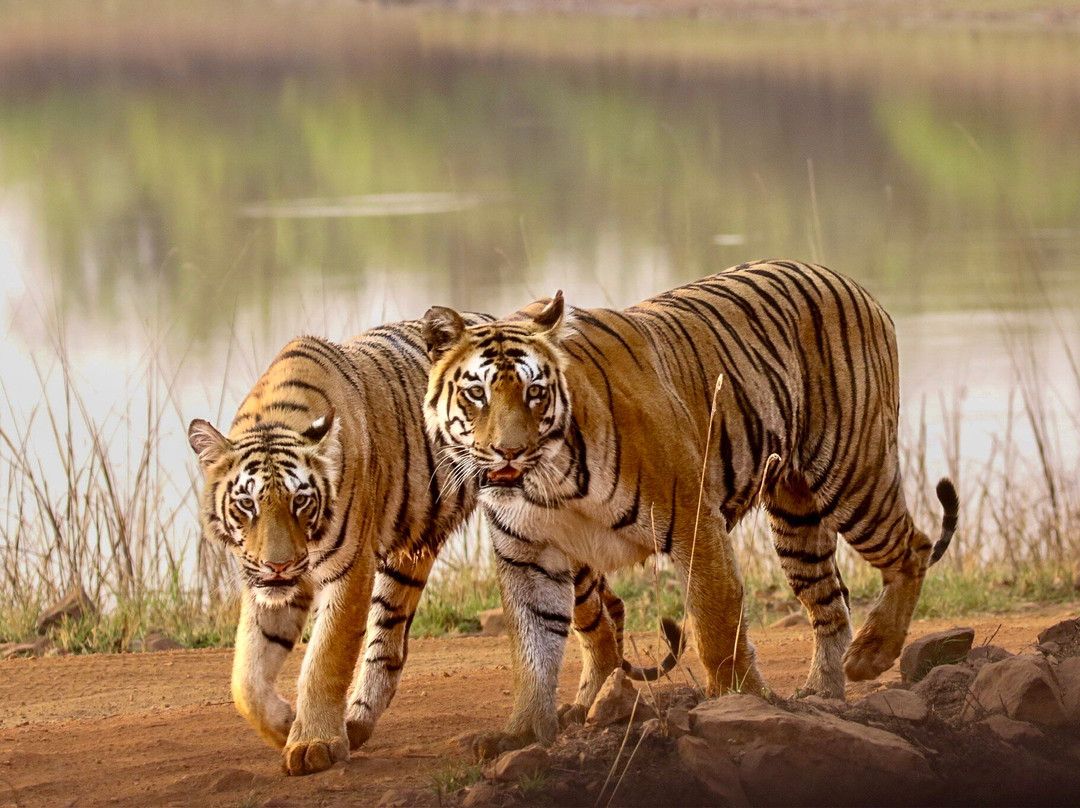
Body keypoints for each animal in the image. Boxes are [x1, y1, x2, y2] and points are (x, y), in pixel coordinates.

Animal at [187, 322, 677, 775]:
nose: (280, 564)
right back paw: (358, 723)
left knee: (601, 623)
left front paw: (313, 743)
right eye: (247, 504)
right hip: (408, 559)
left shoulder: (349, 570)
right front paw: (284, 725)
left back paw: (588, 706)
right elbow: (246, 678)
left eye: (300, 501)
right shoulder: (266, 582)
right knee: (388, 645)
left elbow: (324, 660)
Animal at [422, 259, 959, 758]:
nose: (508, 452)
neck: (548, 480)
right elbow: (533, 649)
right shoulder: (529, 556)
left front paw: (740, 701)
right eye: (477, 394)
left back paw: (871, 654)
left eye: (535, 392)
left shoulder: (691, 519)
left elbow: (715, 622)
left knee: (912, 548)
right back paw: (820, 693)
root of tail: (849, 280)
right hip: (796, 516)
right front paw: (522, 732)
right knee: (831, 601)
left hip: (852, 473)